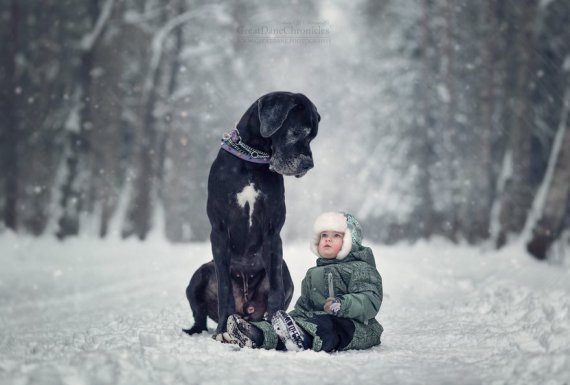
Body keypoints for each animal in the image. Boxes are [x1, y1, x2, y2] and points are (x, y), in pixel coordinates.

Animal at [186, 90, 320, 336]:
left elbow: (276, 288)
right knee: (199, 317)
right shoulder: (219, 230)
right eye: (296, 132)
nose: (308, 164)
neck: (252, 160)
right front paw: (224, 327)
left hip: (285, 271)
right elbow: (224, 288)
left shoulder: (272, 232)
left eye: (313, 137)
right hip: (199, 275)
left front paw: (277, 323)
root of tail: (245, 307)